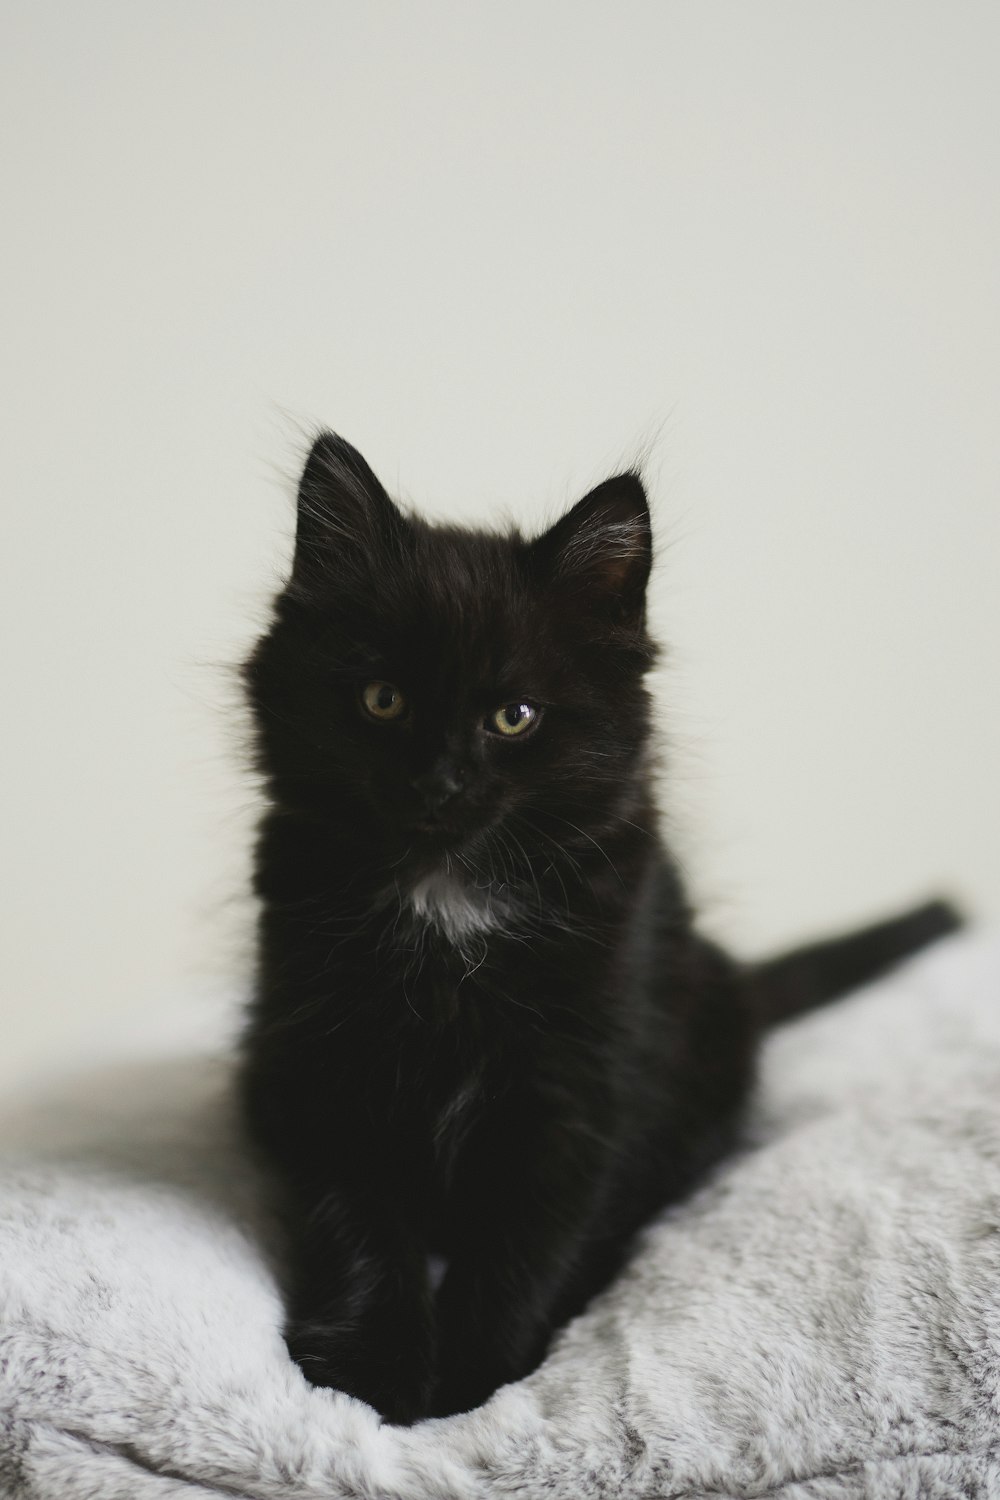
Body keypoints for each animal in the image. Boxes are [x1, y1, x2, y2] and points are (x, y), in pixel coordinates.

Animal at [239, 432, 959, 1416]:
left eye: (514, 717)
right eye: (382, 700)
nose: (439, 785)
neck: (447, 899)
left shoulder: (584, 1074)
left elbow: (530, 1240)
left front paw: (477, 1386)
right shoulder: (320, 1056)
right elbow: (357, 1221)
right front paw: (374, 1383)